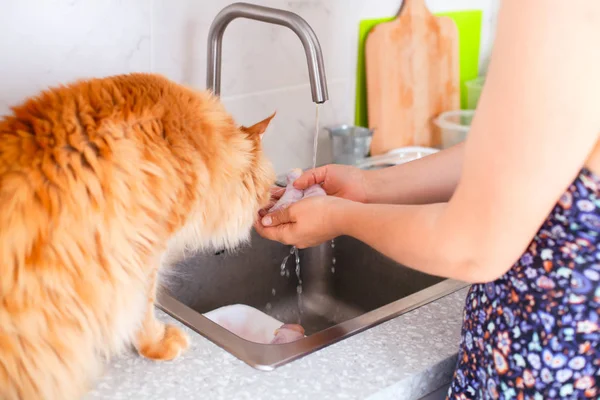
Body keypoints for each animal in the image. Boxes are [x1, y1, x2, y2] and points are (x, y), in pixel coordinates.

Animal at [0, 72, 276, 400]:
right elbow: (143, 308)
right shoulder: (144, 251)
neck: (197, 141)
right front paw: (157, 344)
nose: (271, 201)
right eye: (265, 188)